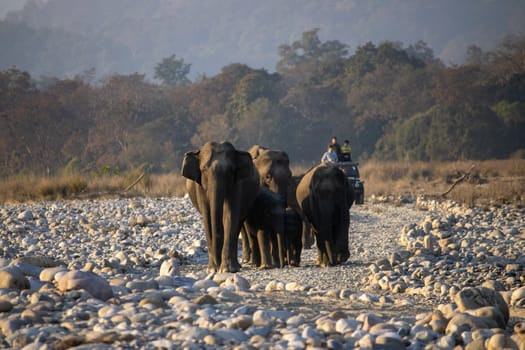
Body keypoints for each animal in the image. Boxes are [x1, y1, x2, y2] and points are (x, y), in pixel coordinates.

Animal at [181, 141, 258, 272]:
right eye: (204, 169)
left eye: (231, 170)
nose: (217, 264)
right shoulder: (199, 186)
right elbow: (207, 216)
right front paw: (212, 269)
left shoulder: (237, 184)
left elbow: (229, 215)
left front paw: (226, 269)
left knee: (238, 224)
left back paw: (236, 266)